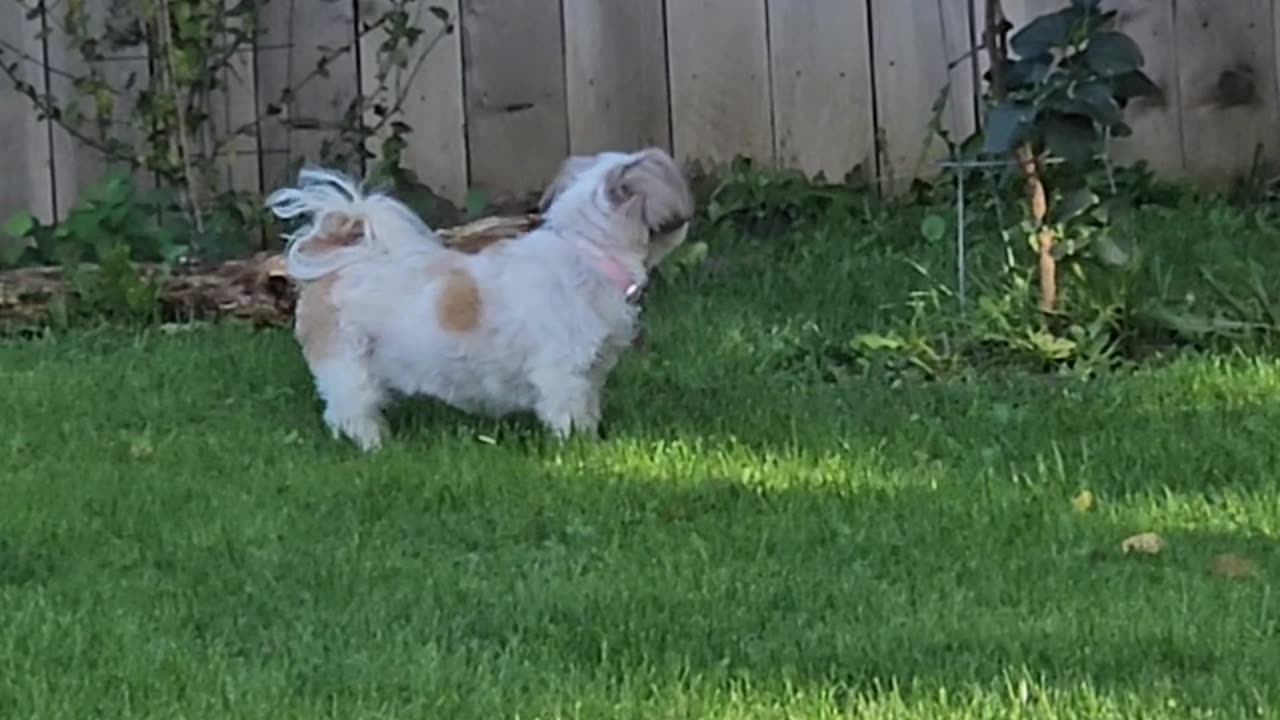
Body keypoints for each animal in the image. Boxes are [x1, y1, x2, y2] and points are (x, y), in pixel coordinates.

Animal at [263, 147, 696, 448]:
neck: (588, 254)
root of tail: (336, 262)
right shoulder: (562, 373)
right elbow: (567, 412)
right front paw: (578, 448)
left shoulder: (588, 373)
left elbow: (586, 406)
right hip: (347, 365)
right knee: (350, 410)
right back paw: (374, 444)